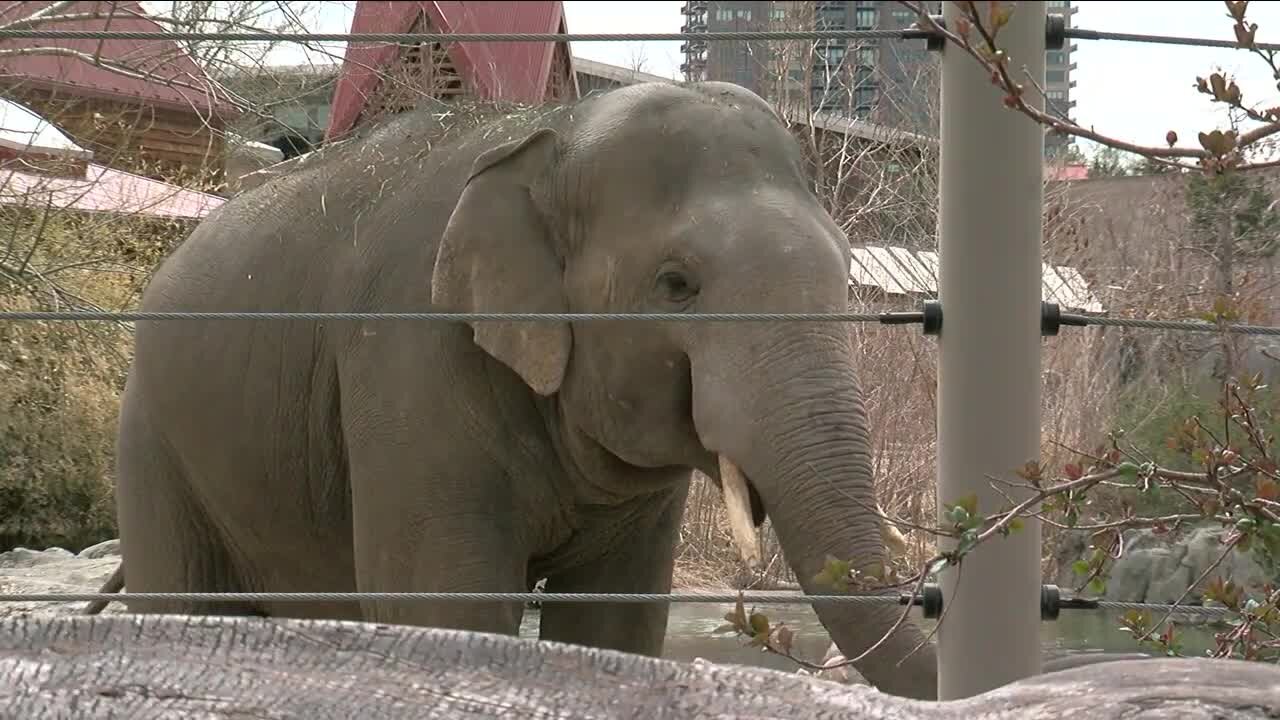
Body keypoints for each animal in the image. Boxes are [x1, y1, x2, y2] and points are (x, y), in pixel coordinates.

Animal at [102, 78, 942, 696]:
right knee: (181, 605)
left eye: (844, 268)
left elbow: (616, 624)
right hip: (153, 440)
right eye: (677, 284)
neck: (553, 131)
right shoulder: (409, 358)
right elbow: (446, 605)